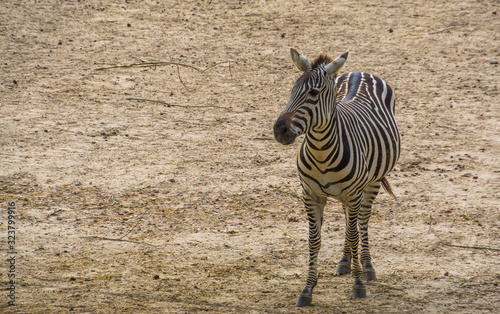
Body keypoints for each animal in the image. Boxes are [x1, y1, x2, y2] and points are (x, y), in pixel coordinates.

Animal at [272, 47, 400, 306]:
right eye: (291, 90)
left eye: (313, 93)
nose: (279, 130)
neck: (321, 151)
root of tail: (360, 72)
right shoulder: (310, 195)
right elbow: (314, 241)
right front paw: (308, 289)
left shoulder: (353, 193)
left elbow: (353, 236)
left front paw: (358, 284)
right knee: (349, 219)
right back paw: (345, 262)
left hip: (369, 185)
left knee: (362, 222)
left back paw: (366, 266)